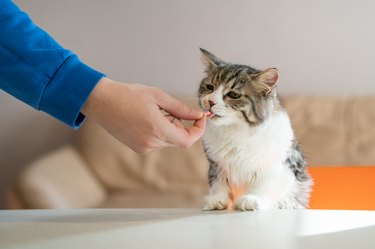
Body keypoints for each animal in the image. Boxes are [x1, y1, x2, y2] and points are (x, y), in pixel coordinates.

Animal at [198, 48, 312, 210]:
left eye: (233, 94)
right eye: (210, 87)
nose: (210, 101)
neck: (236, 131)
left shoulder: (279, 166)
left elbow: (264, 186)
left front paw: (251, 199)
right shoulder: (217, 165)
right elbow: (218, 183)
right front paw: (217, 199)